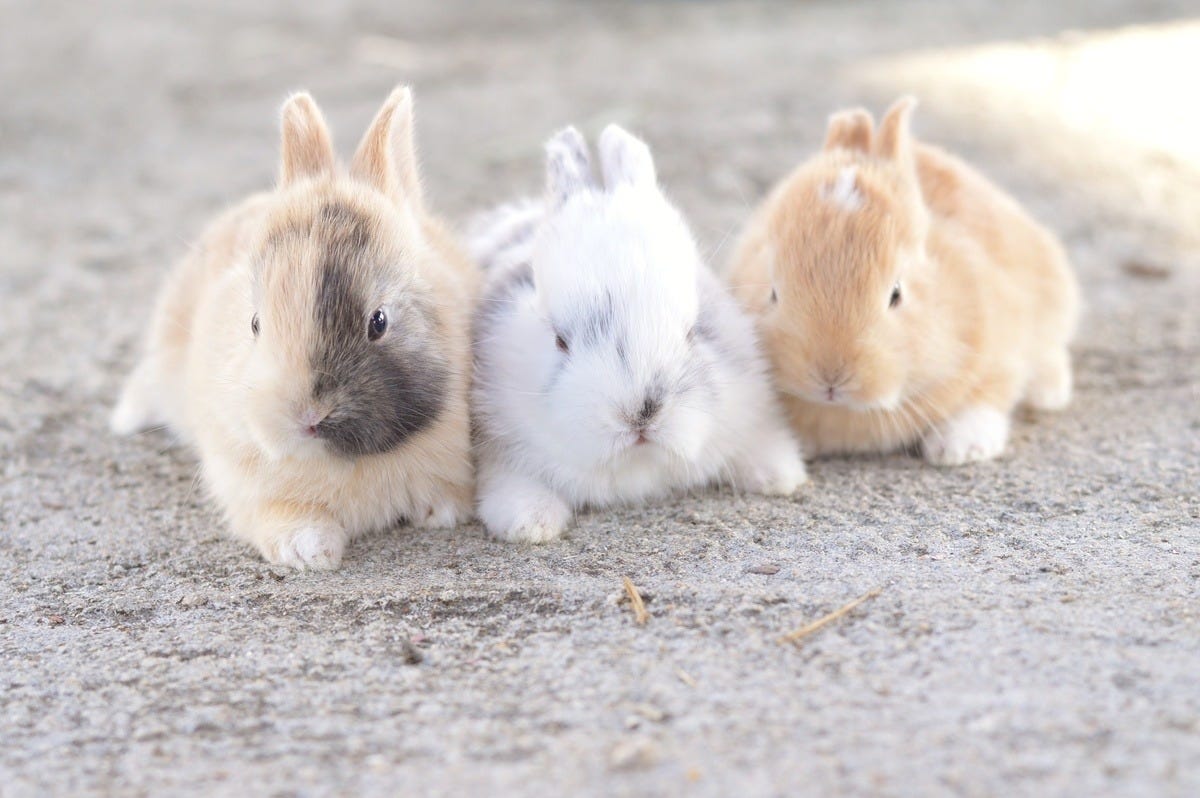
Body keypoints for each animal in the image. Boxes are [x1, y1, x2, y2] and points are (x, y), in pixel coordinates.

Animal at [724, 97, 1084, 468]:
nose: (831, 378)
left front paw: (959, 450)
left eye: (896, 294)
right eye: (772, 293)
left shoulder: (999, 356)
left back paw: (1049, 394)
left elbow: (986, 400)